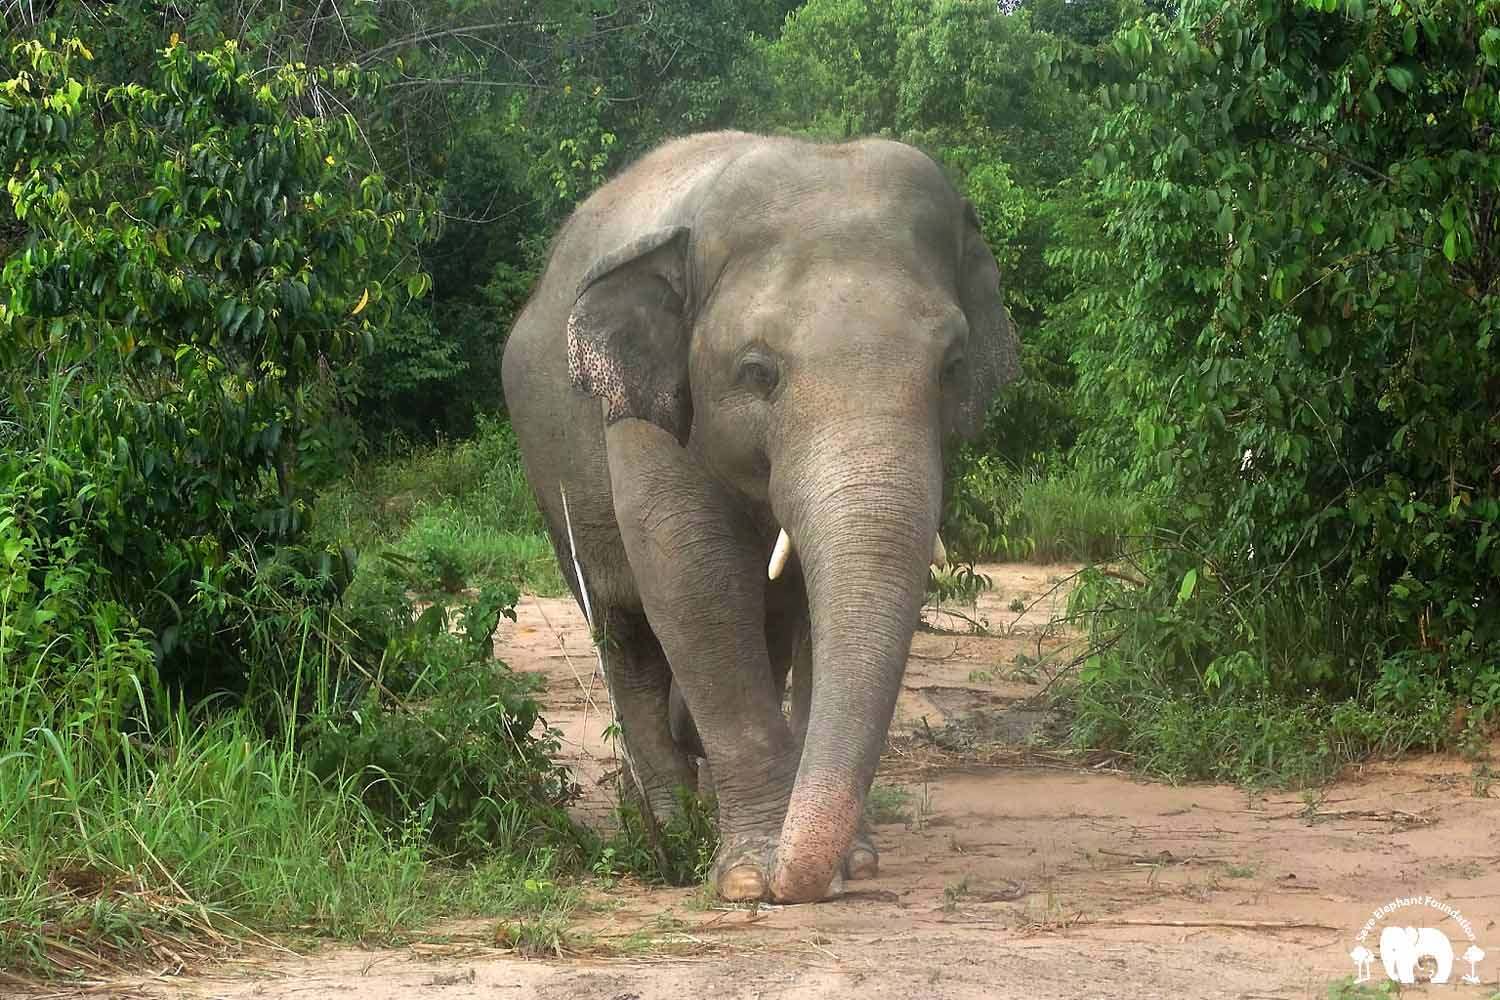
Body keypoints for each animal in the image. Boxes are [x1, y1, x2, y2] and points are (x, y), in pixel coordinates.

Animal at [501, 128, 1020, 905]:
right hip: (554, 480)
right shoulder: (642, 418)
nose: (797, 881)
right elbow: (693, 580)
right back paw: (667, 828)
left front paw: (846, 862)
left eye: (951, 367)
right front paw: (748, 878)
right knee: (624, 635)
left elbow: (805, 607)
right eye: (756, 371)